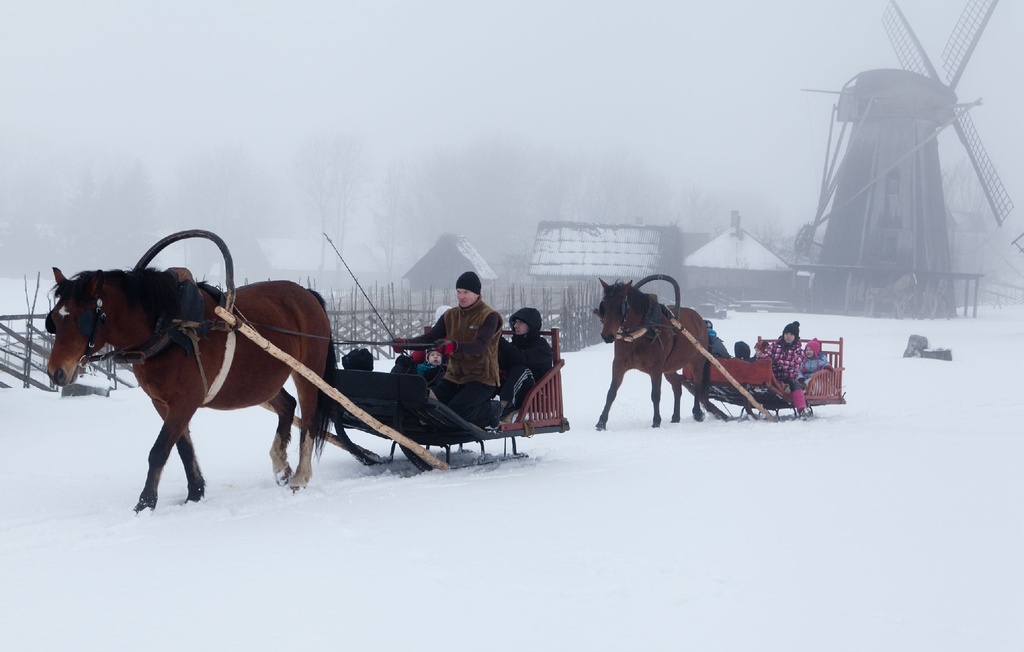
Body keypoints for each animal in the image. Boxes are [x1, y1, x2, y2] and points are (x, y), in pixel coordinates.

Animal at [47, 266, 368, 511]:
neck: (167, 329)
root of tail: (307, 294)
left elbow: (159, 450)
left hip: (307, 372)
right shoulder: (163, 402)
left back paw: (300, 476)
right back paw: (280, 465)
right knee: (288, 405)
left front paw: (145, 503)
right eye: (54, 320)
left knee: (310, 420)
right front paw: (195, 493)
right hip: (262, 381)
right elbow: (183, 448)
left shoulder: (185, 401)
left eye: (81, 318)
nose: (56, 372)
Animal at [593, 278, 729, 427]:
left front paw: (656, 422)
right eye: (604, 306)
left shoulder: (656, 368)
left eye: (621, 307)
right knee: (677, 386)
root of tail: (699, 320)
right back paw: (675, 417)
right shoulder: (619, 364)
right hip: (669, 368)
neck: (643, 330)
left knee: (698, 385)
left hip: (697, 362)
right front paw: (601, 422)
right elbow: (611, 392)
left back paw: (697, 412)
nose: (607, 336)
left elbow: (655, 395)